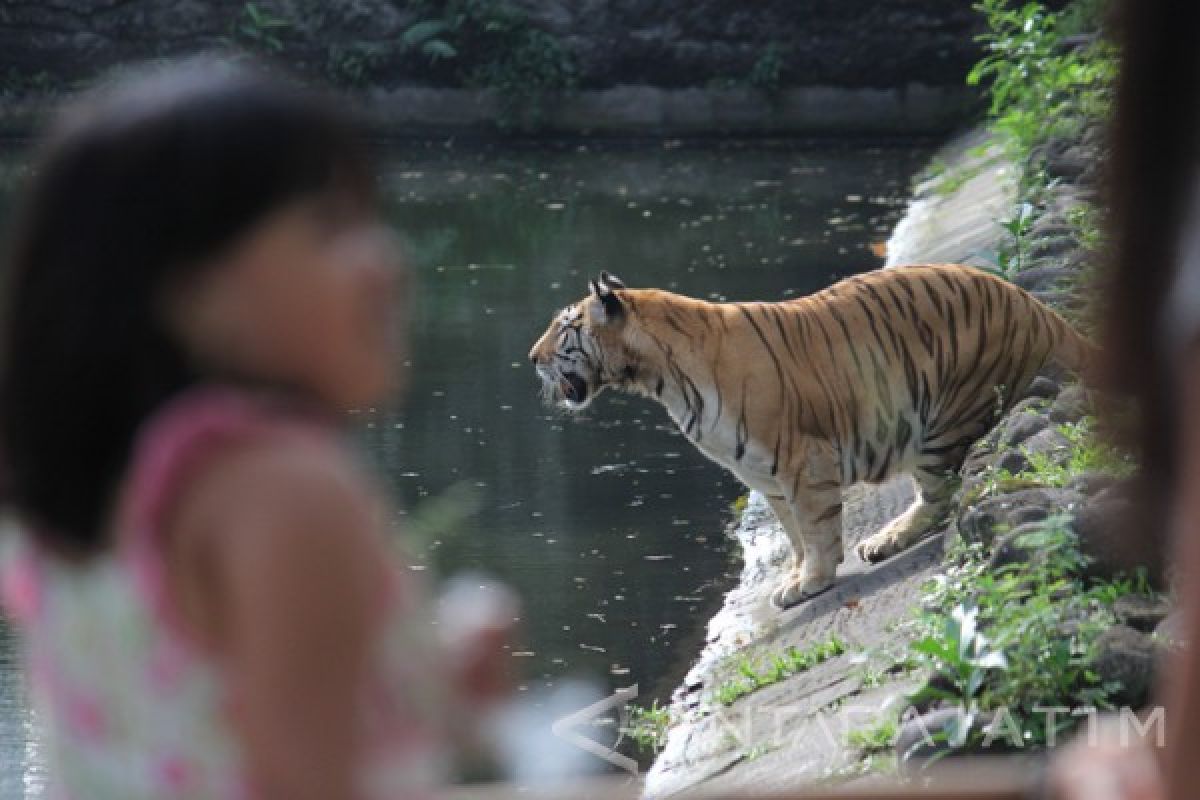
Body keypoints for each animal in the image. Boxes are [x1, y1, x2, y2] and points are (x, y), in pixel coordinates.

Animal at [530, 262, 1094, 606]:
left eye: (564, 328)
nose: (532, 358)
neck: (659, 377)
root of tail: (1039, 309)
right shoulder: (764, 474)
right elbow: (793, 532)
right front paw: (796, 577)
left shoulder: (803, 461)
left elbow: (816, 525)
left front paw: (815, 582)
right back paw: (884, 541)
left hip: (947, 415)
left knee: (941, 494)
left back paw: (887, 537)